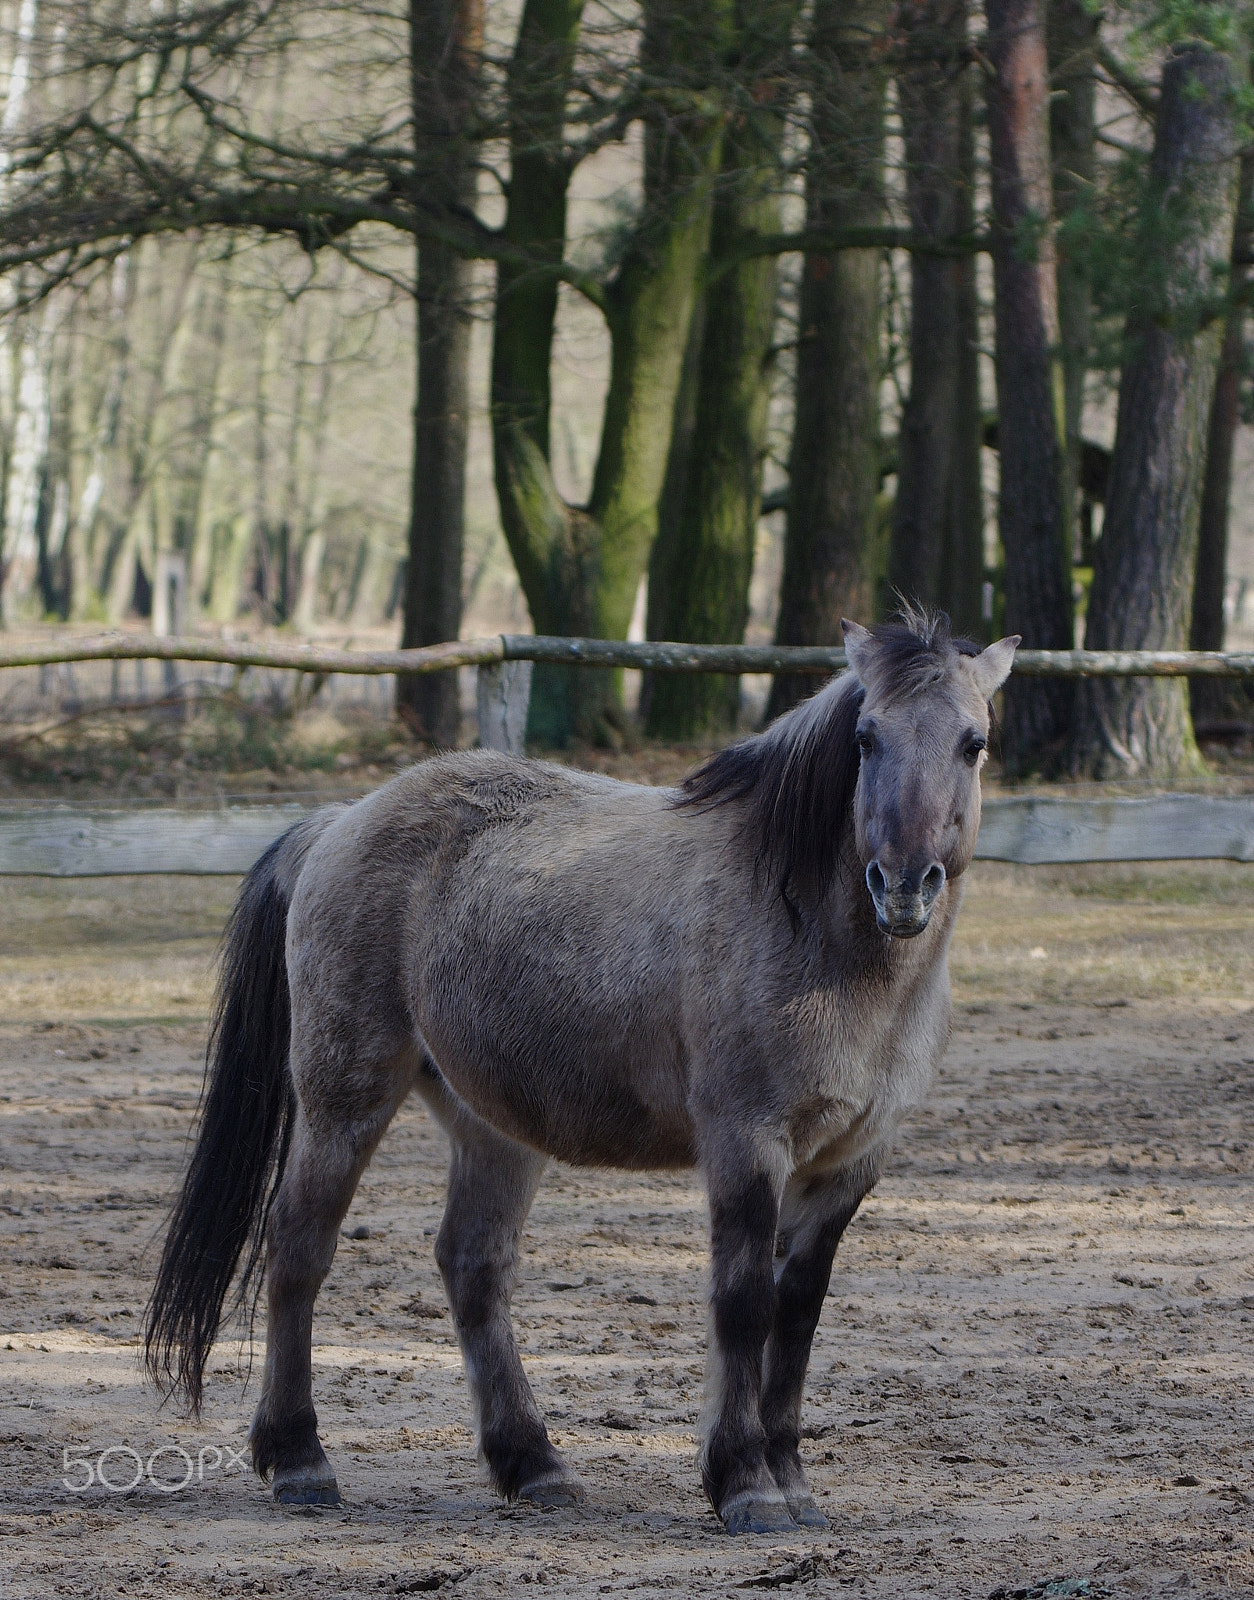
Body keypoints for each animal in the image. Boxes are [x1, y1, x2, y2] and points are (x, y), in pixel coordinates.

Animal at [144, 611, 1018, 1536]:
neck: (819, 936)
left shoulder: (849, 1164)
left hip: (491, 1124)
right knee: (299, 1247)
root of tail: (343, 821)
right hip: (344, 1096)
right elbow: (745, 1304)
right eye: (865, 737)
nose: (904, 884)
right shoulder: (746, 1145)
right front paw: (746, 1483)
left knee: (474, 1265)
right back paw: (299, 1460)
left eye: (973, 743)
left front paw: (791, 1481)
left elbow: (799, 1312)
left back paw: (532, 1464)